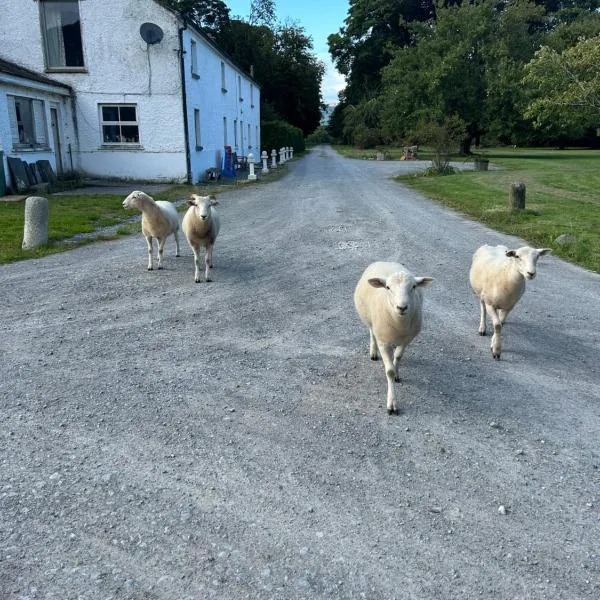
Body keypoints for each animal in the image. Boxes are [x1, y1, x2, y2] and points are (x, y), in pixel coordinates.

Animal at [354, 260, 434, 414]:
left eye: (413, 287)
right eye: (388, 287)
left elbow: (398, 357)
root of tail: (385, 261)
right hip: (370, 320)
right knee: (372, 332)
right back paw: (373, 352)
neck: (399, 323)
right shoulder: (383, 342)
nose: (402, 307)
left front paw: (397, 373)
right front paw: (391, 404)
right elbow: (389, 371)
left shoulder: (407, 340)